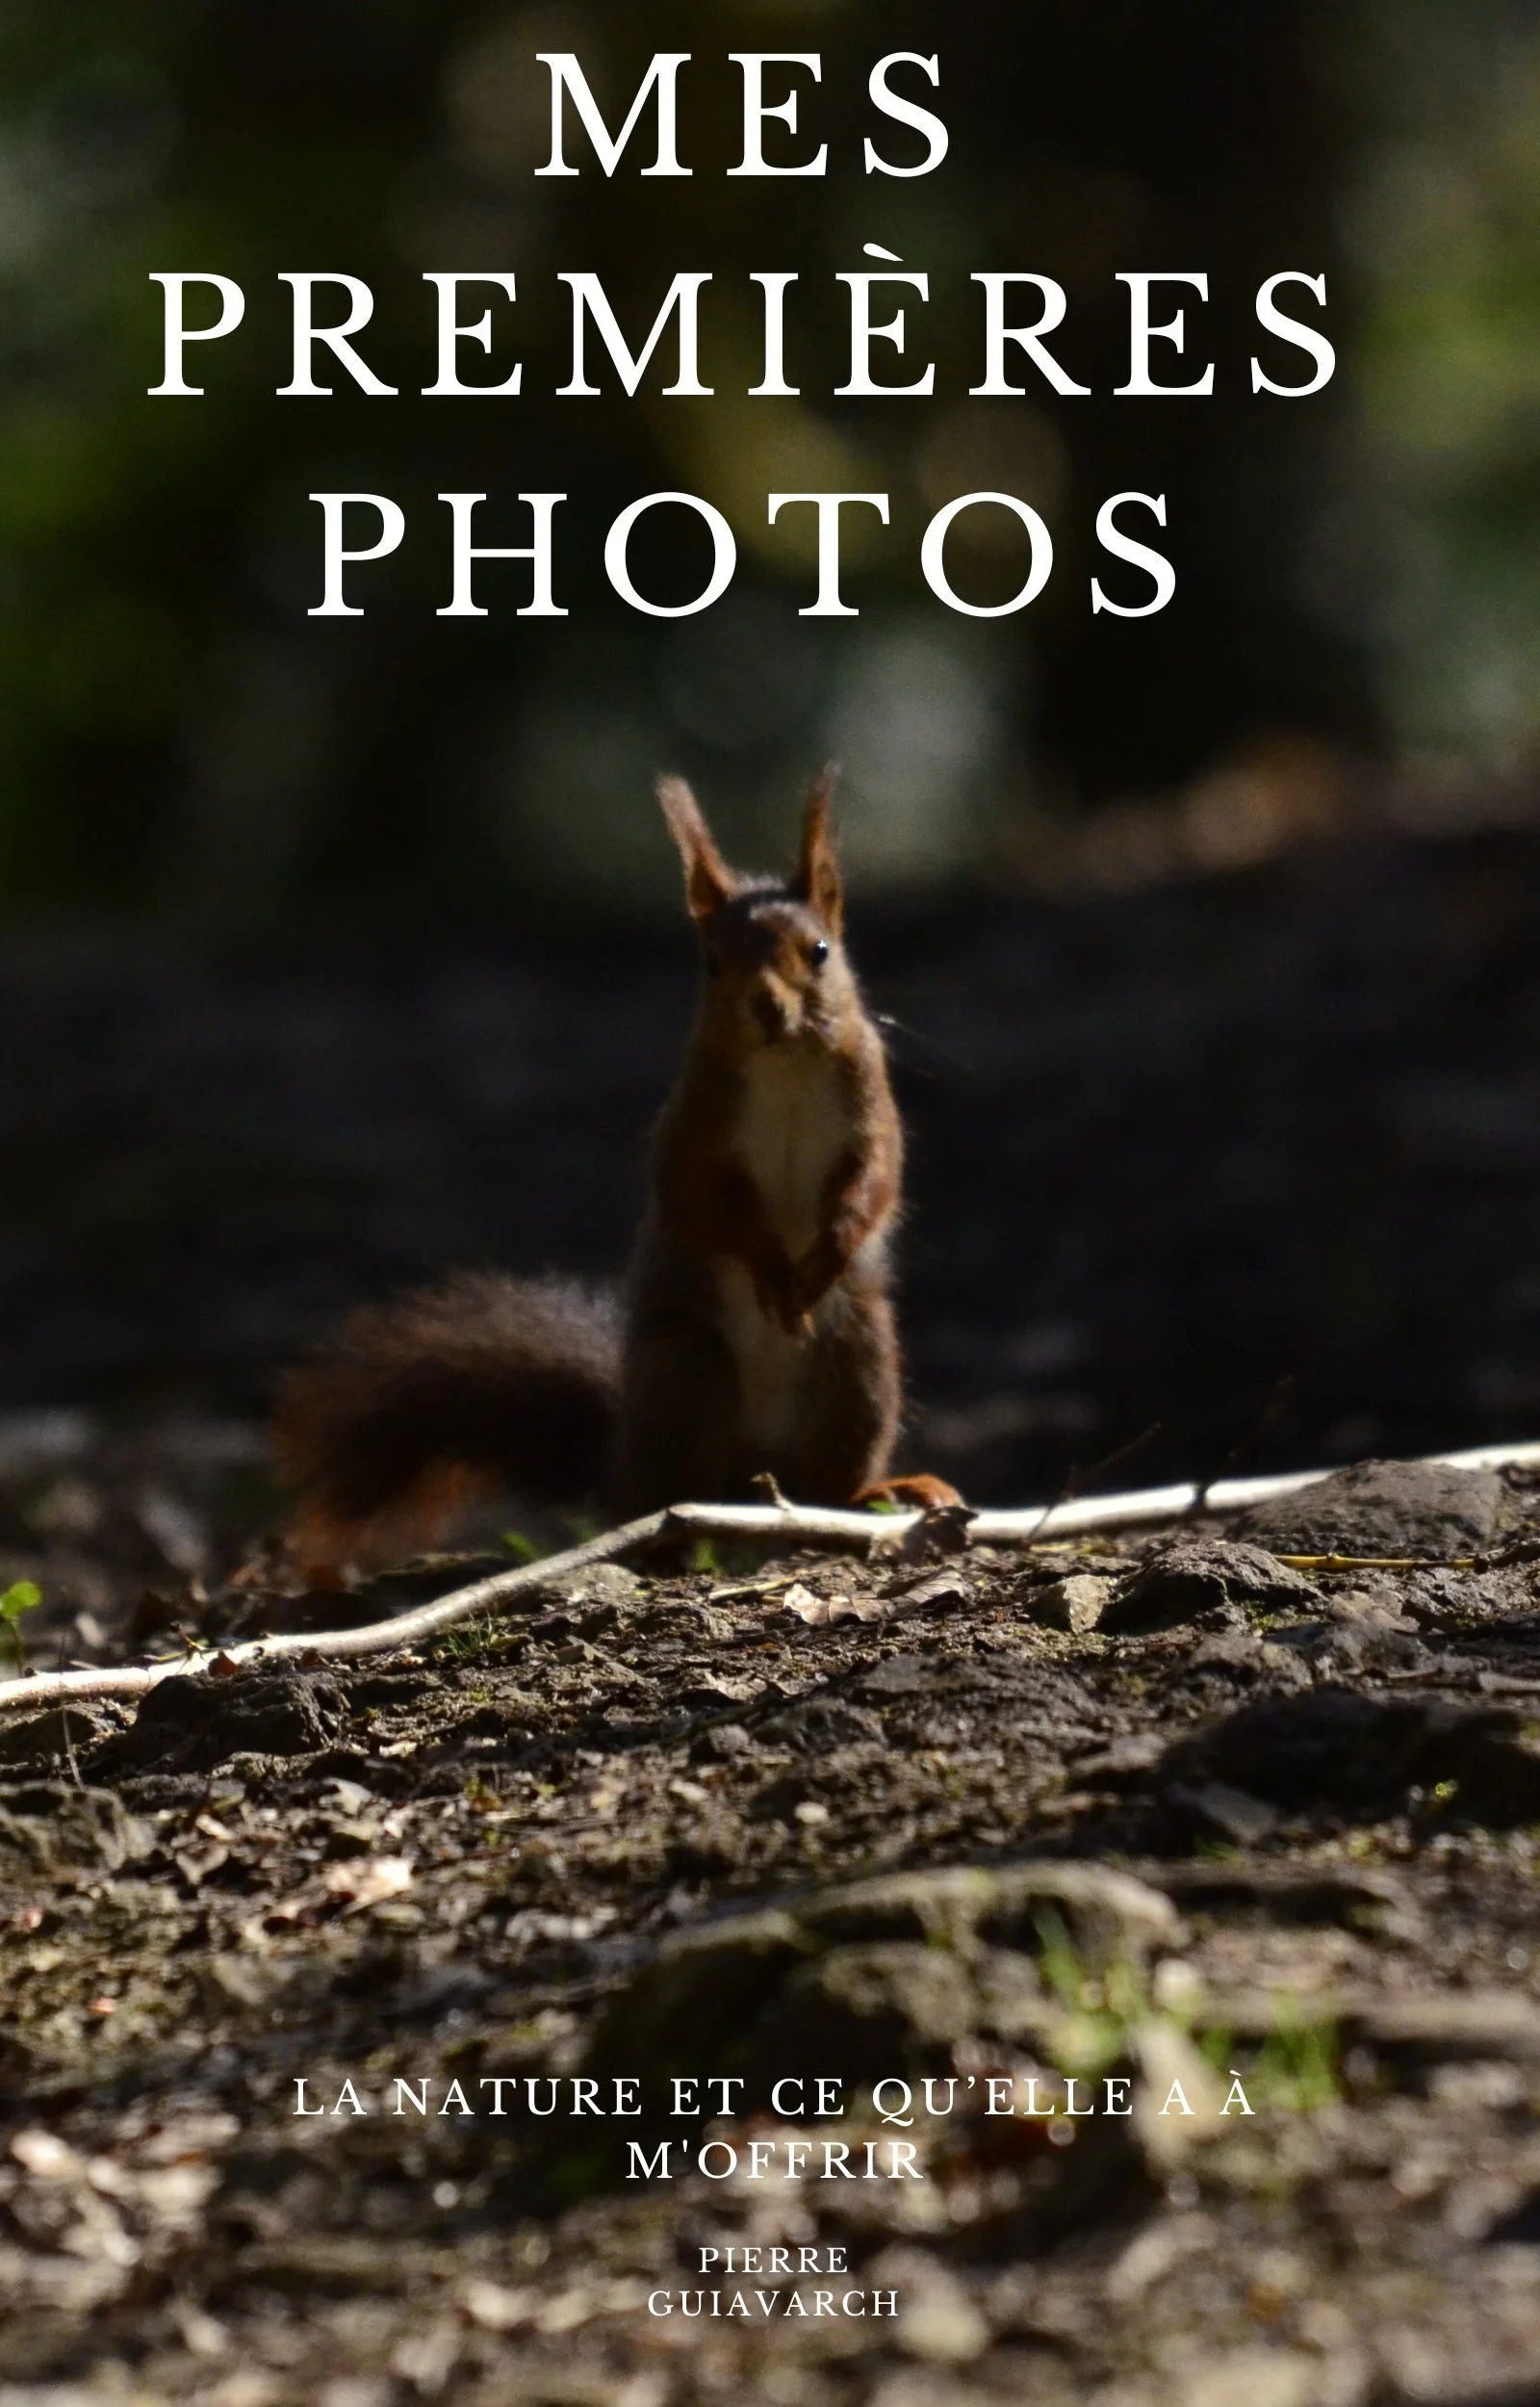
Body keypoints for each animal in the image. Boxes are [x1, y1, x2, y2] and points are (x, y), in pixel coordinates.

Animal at [274, 768, 954, 1570]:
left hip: (858, 1367)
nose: (765, 1008)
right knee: (670, 1491)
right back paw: (675, 1529)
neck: (785, 1065)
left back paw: (881, 1493)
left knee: (827, 1482)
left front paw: (826, 1256)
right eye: (710, 962)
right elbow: (701, 1200)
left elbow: (874, 1181)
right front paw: (770, 1269)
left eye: (818, 950)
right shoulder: (693, 1130)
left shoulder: (870, 1106)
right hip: (685, 1371)